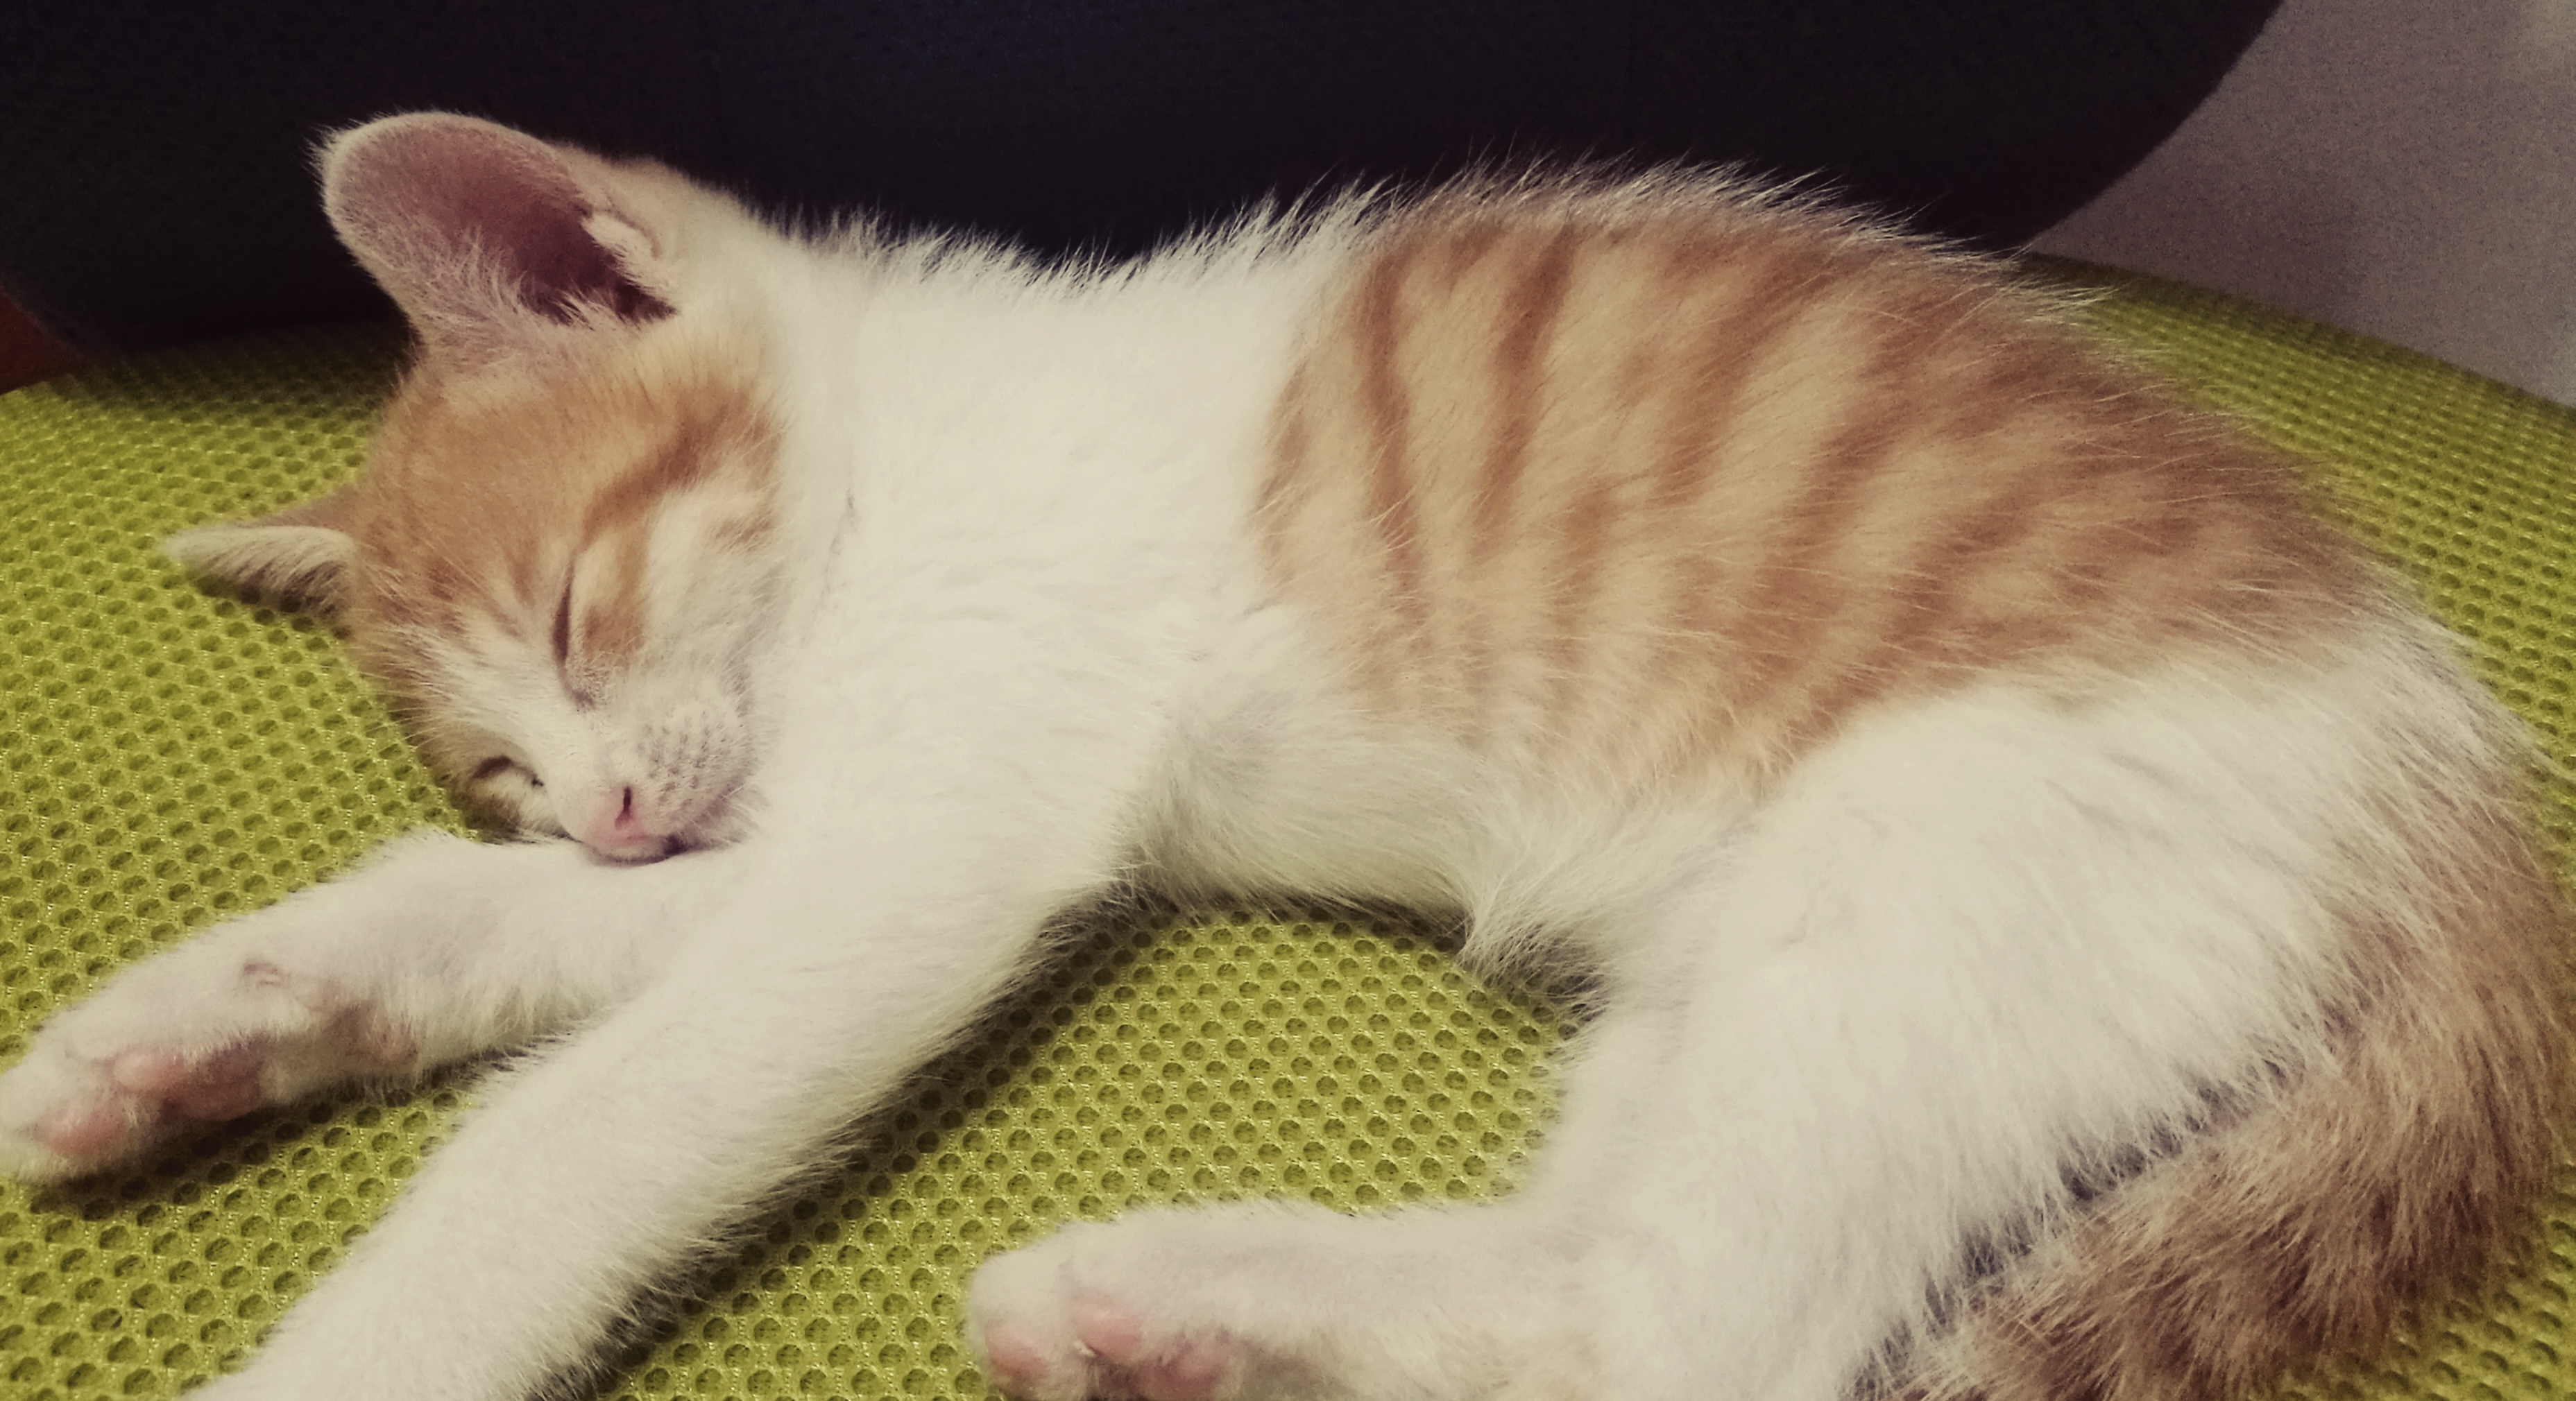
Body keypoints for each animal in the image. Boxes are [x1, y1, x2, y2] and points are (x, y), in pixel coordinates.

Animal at [0, 109, 2567, 1401]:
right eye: (505, 769)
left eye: (574, 613)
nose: (609, 803)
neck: (892, 468)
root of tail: (2463, 814)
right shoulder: (909, 814)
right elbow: (531, 933)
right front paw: (209, 1022)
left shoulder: (951, 799)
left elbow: (586, 1126)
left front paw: (357, 1352)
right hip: (1786, 961)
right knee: (1614, 1272)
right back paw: (1188, 1312)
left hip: (1939, 880)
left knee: (1699, 1332)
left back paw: (1176, 1305)